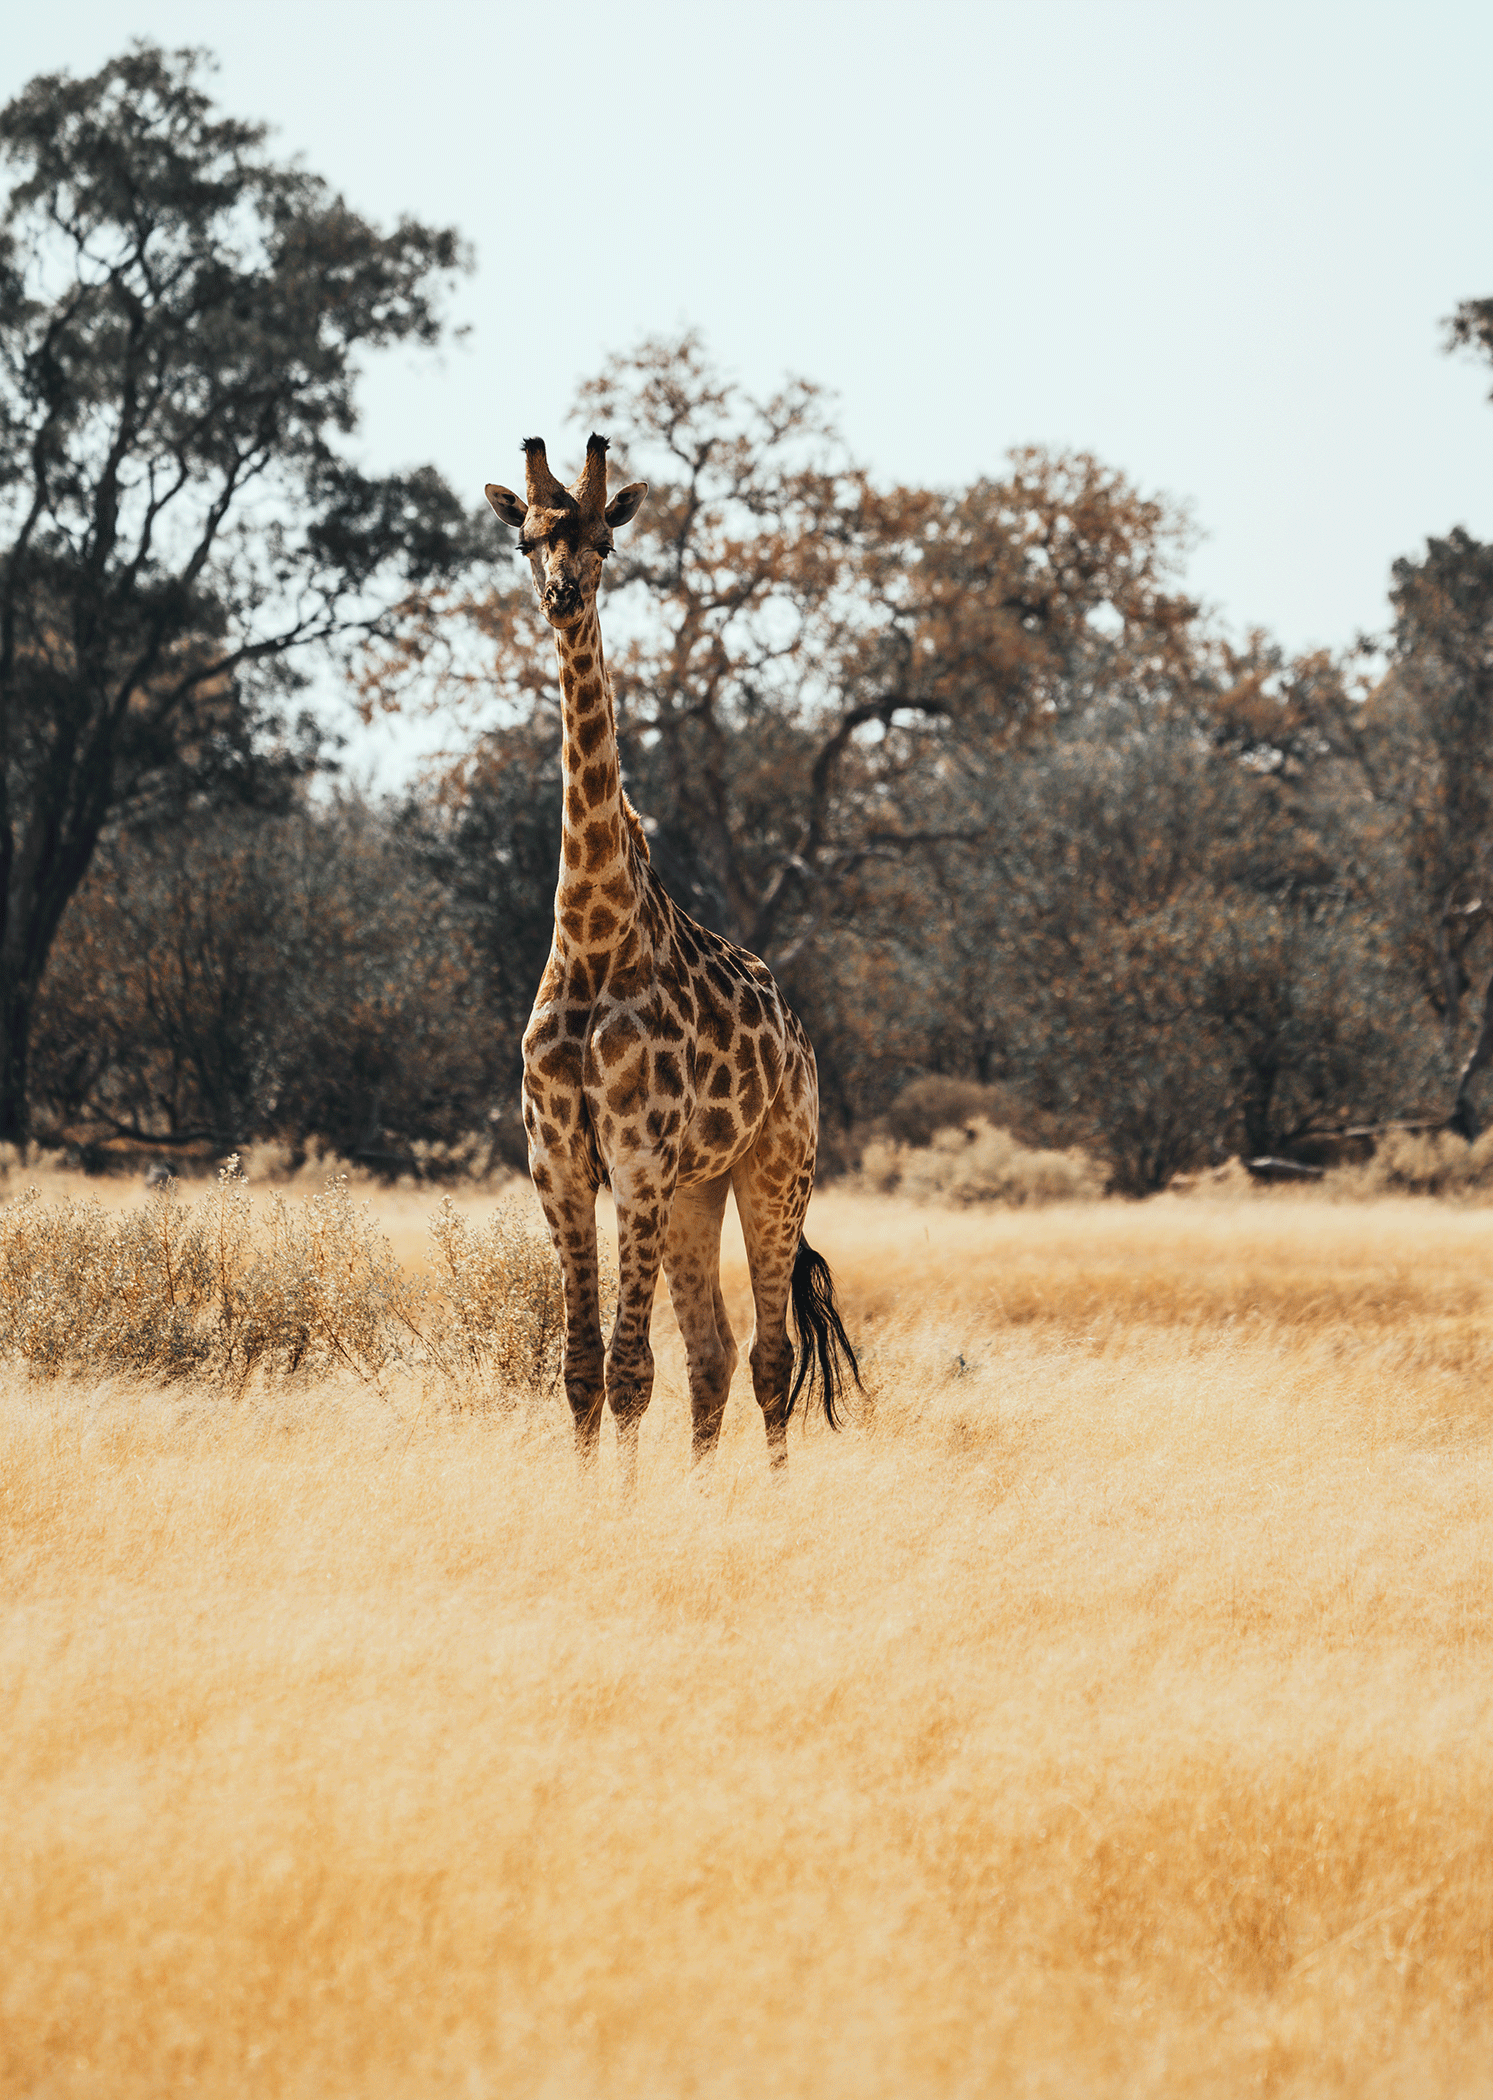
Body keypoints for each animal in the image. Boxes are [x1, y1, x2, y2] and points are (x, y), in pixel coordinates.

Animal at [484, 434, 859, 1485]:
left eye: (604, 541)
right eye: (526, 538)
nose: (562, 593)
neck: (590, 934)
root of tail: (800, 1037)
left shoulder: (637, 1156)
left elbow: (625, 1369)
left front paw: (620, 1501)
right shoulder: (558, 1161)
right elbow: (579, 1366)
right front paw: (592, 1499)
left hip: (777, 1167)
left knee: (769, 1350)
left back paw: (769, 1494)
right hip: (700, 1188)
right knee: (715, 1352)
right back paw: (701, 1492)